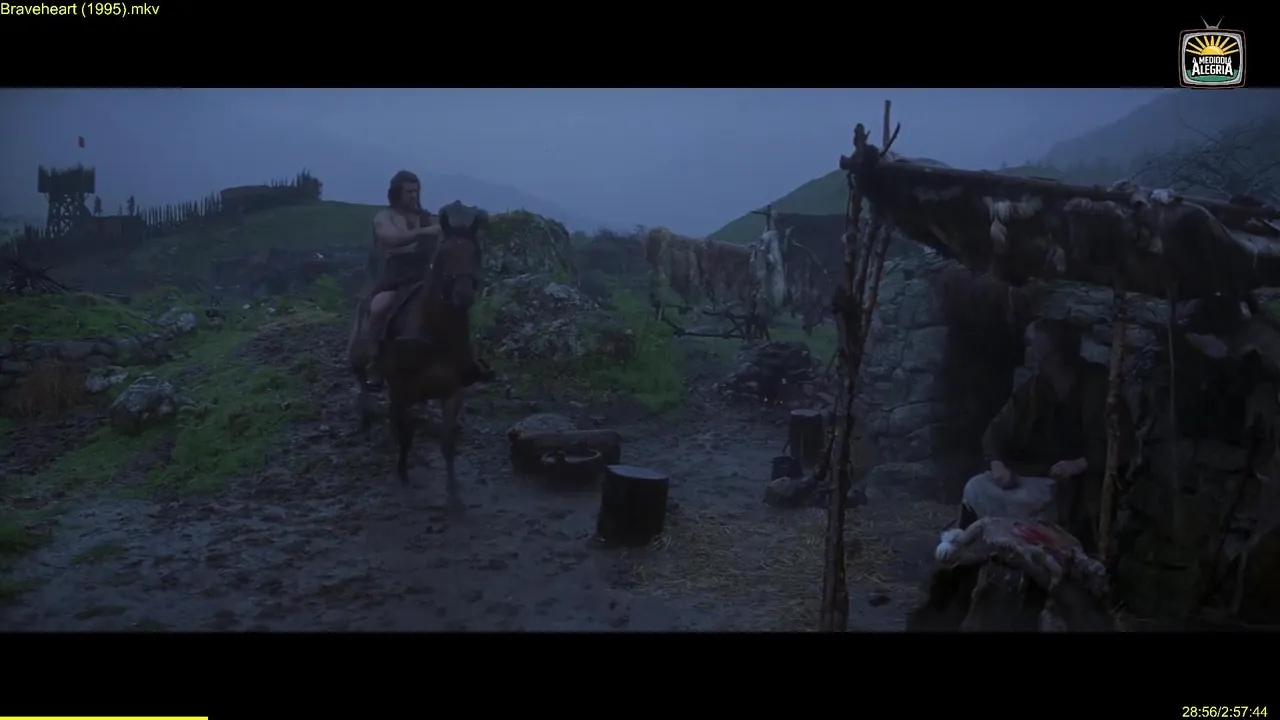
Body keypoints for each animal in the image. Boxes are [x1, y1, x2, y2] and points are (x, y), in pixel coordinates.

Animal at [354, 202, 486, 515]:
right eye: (444, 254)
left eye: (476, 253)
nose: (463, 295)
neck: (434, 332)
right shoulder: (403, 392)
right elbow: (407, 433)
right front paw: (402, 476)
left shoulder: (452, 392)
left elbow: (447, 441)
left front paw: (453, 494)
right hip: (363, 358)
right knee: (364, 382)